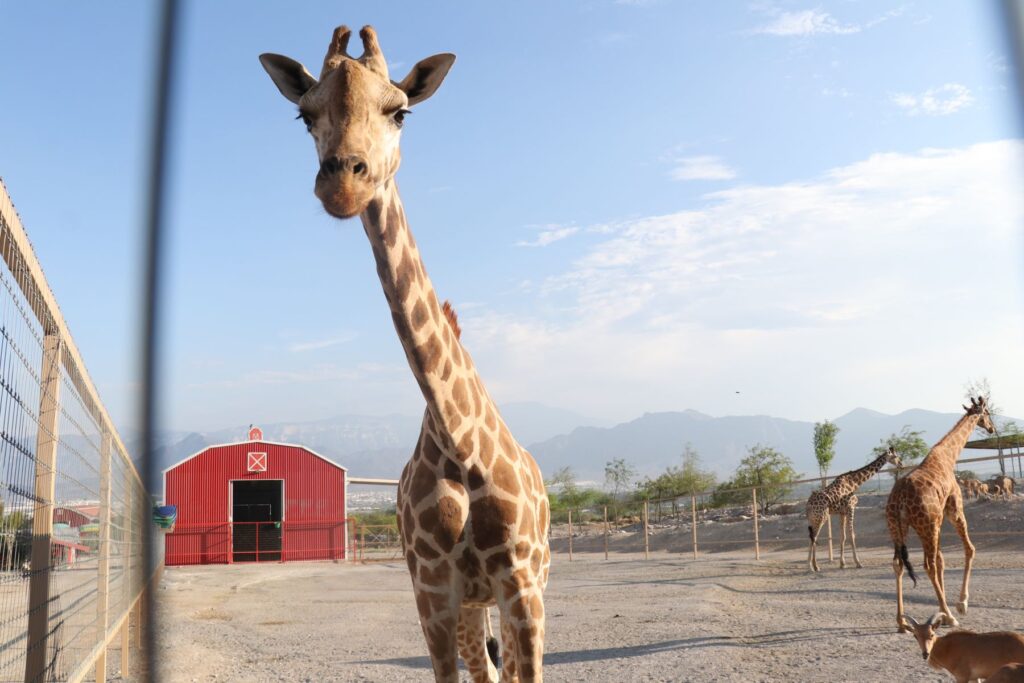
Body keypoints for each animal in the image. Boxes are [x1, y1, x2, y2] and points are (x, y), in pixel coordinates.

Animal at [260, 25, 552, 683]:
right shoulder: (433, 596)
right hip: (470, 609)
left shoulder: (522, 588)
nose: (343, 181)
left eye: (401, 111)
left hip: (527, 586)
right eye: (304, 113)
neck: (458, 442)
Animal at [888, 397, 991, 634]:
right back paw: (951, 616)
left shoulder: (939, 520)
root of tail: (898, 500)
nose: (991, 428)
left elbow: (942, 559)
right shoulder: (954, 510)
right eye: (988, 413)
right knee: (928, 566)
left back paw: (901, 622)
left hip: (899, 528)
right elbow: (969, 549)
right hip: (926, 526)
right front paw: (960, 605)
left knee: (899, 564)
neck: (948, 457)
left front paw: (941, 615)